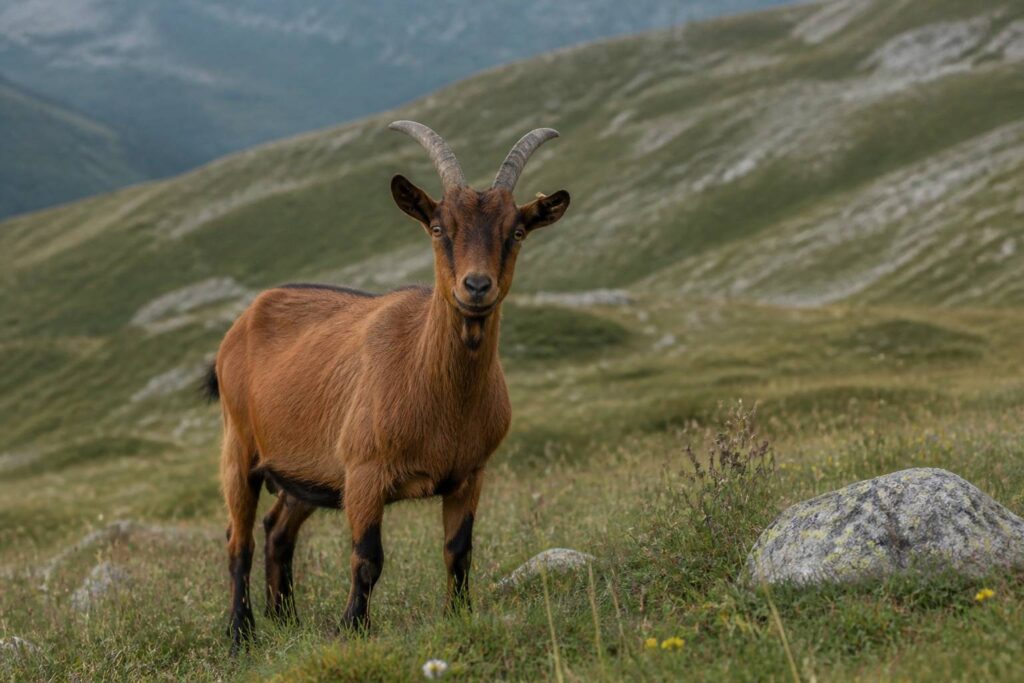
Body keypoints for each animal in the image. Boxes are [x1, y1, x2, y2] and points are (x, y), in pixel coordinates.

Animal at [209, 120, 570, 651]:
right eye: (439, 228)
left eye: (517, 232)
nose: (476, 287)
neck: (435, 389)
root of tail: (246, 318)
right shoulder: (364, 473)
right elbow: (367, 558)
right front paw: (352, 629)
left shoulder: (469, 474)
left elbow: (458, 550)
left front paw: (458, 616)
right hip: (239, 447)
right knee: (240, 540)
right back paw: (241, 633)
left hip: (306, 473)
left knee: (277, 530)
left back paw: (285, 620)